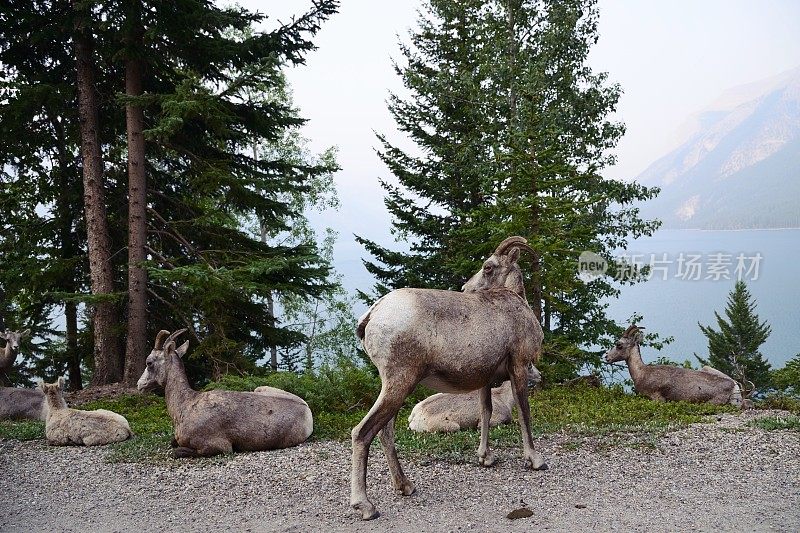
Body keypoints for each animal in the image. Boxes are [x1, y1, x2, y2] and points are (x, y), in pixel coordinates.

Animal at [138, 328, 312, 458]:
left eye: (149, 362)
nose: (140, 385)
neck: (185, 406)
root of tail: (308, 414)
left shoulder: (219, 446)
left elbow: (178, 451)